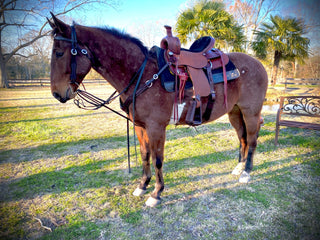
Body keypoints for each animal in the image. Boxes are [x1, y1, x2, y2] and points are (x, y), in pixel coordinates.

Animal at [47, 14, 268, 207]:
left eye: (59, 53)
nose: (57, 94)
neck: (142, 74)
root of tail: (258, 64)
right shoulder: (140, 126)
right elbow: (145, 155)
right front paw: (142, 185)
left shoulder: (156, 128)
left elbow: (158, 160)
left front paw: (156, 193)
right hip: (235, 112)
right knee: (242, 138)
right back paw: (238, 168)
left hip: (251, 112)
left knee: (252, 139)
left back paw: (246, 173)